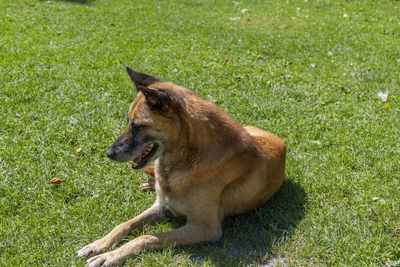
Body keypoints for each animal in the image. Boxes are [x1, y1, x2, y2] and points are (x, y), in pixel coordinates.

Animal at [76, 68, 288, 266]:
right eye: (128, 122)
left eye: (137, 126)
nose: (109, 154)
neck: (188, 158)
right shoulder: (162, 206)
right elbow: (124, 224)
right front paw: (98, 245)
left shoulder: (204, 228)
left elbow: (146, 237)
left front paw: (111, 256)